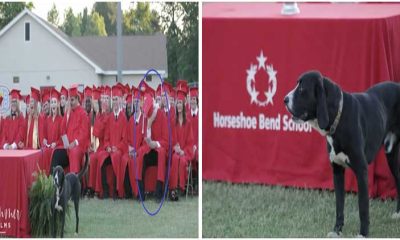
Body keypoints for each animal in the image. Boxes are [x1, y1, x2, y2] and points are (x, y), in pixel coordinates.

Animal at [282, 70, 400, 237]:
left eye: (302, 89)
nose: (284, 100)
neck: (339, 118)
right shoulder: (337, 171)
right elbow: (339, 204)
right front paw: (337, 231)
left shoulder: (361, 171)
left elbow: (363, 207)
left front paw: (363, 234)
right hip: (391, 154)